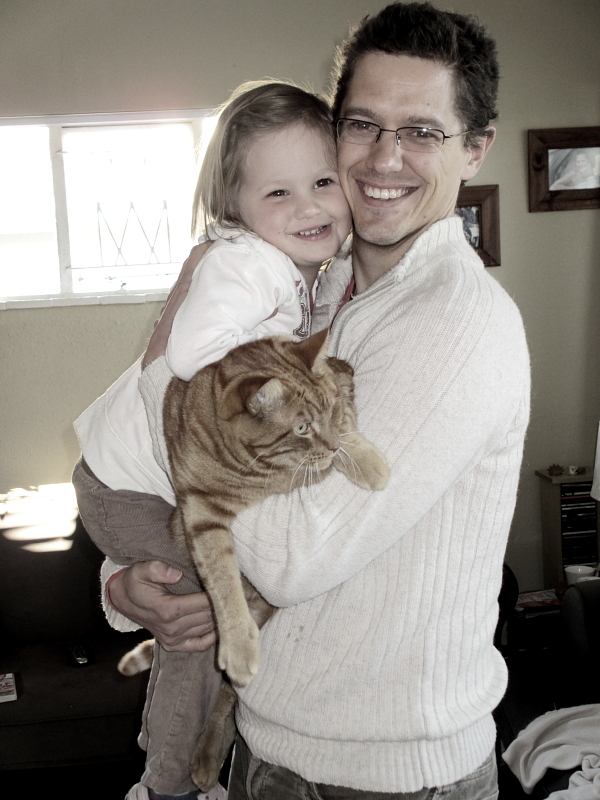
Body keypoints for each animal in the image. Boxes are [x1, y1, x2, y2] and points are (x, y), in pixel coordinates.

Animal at [118, 326, 389, 788]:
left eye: (328, 410)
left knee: (227, 699)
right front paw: (239, 644)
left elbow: (348, 426)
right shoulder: (199, 514)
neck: (259, 471)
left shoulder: (343, 387)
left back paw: (207, 757)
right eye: (301, 426)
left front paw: (366, 460)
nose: (331, 447)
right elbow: (223, 583)